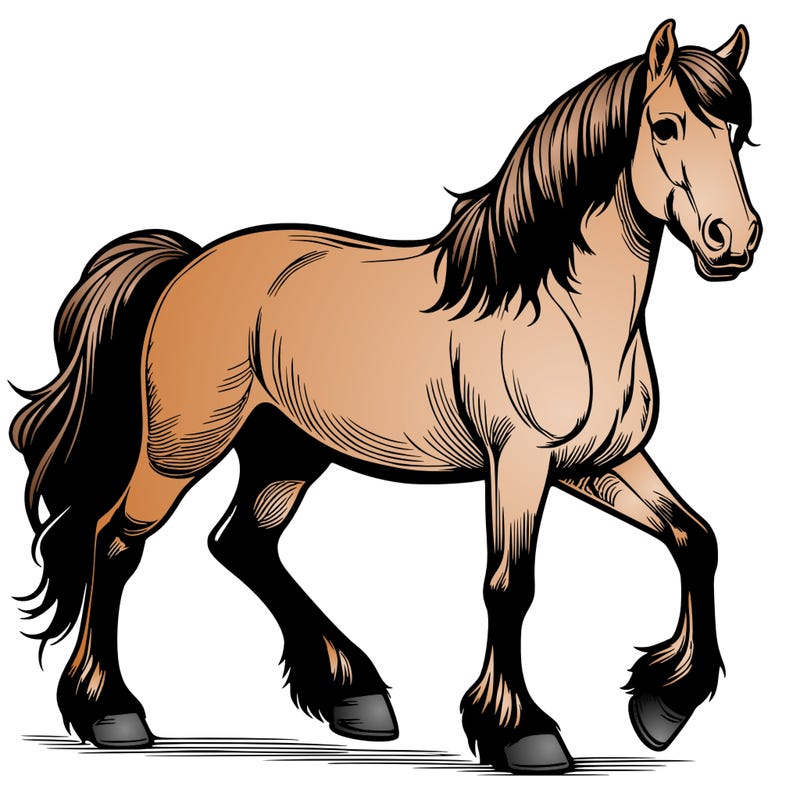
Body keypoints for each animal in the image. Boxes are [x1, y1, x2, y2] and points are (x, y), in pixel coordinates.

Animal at [10, 20, 760, 773]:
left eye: (735, 132)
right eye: (664, 126)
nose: (735, 240)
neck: (558, 308)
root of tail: (187, 264)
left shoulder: (599, 463)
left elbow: (696, 538)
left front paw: (662, 706)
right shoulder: (520, 462)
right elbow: (509, 585)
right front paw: (522, 733)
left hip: (286, 451)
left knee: (242, 542)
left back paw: (354, 695)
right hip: (182, 448)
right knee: (115, 541)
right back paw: (112, 714)